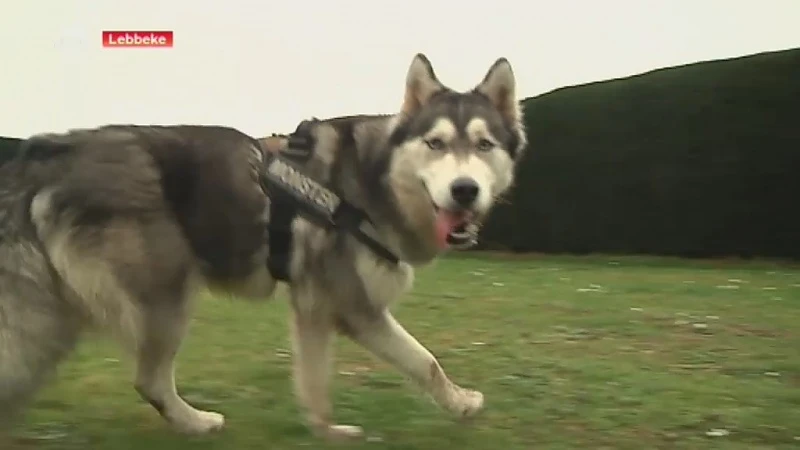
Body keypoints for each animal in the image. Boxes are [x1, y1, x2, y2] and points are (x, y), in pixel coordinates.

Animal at [0, 52, 528, 440]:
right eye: (435, 144)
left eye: (484, 145)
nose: (464, 190)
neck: (373, 179)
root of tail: (51, 153)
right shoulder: (355, 309)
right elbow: (425, 360)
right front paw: (461, 405)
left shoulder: (314, 308)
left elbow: (315, 382)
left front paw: (325, 430)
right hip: (163, 301)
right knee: (149, 380)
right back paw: (196, 423)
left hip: (60, 312)